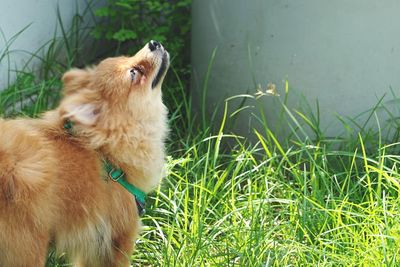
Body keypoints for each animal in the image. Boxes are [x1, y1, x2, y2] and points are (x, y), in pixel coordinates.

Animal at [0, 40, 169, 267]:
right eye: (134, 73)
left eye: (127, 57)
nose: (153, 43)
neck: (108, 154)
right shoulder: (118, 237)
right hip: (28, 251)